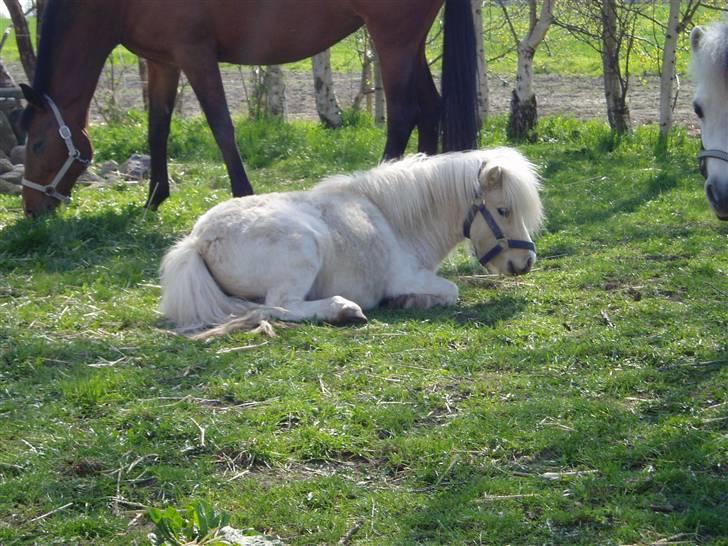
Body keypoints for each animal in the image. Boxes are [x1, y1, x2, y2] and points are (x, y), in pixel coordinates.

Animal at [18, 0, 478, 217]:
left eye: (37, 146)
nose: (31, 210)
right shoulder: (163, 62)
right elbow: (157, 129)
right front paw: (153, 198)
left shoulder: (195, 54)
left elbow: (221, 126)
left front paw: (241, 194)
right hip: (409, 43)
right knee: (430, 108)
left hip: (391, 39)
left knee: (403, 112)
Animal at [162, 146, 544, 336]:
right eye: (503, 210)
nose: (526, 263)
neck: (394, 221)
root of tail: (198, 240)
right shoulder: (408, 277)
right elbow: (450, 290)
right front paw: (409, 301)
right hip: (303, 250)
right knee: (280, 306)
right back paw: (343, 310)